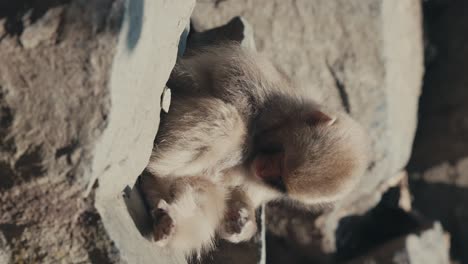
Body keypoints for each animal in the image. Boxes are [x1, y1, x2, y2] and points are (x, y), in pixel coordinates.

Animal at [141, 43, 368, 258]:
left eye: (279, 181)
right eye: (280, 155)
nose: (263, 170)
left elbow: (241, 195)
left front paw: (243, 221)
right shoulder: (280, 96)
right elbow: (231, 75)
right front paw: (244, 143)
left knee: (203, 195)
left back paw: (168, 222)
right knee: (228, 122)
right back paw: (157, 170)